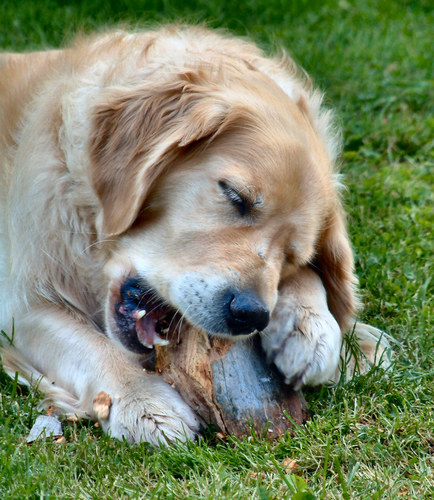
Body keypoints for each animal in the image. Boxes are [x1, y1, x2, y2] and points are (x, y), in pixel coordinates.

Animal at [0, 25, 376, 446]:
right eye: (235, 196)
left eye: (293, 257)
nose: (250, 314)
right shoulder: (21, 305)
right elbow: (90, 346)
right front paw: (142, 400)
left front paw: (312, 327)